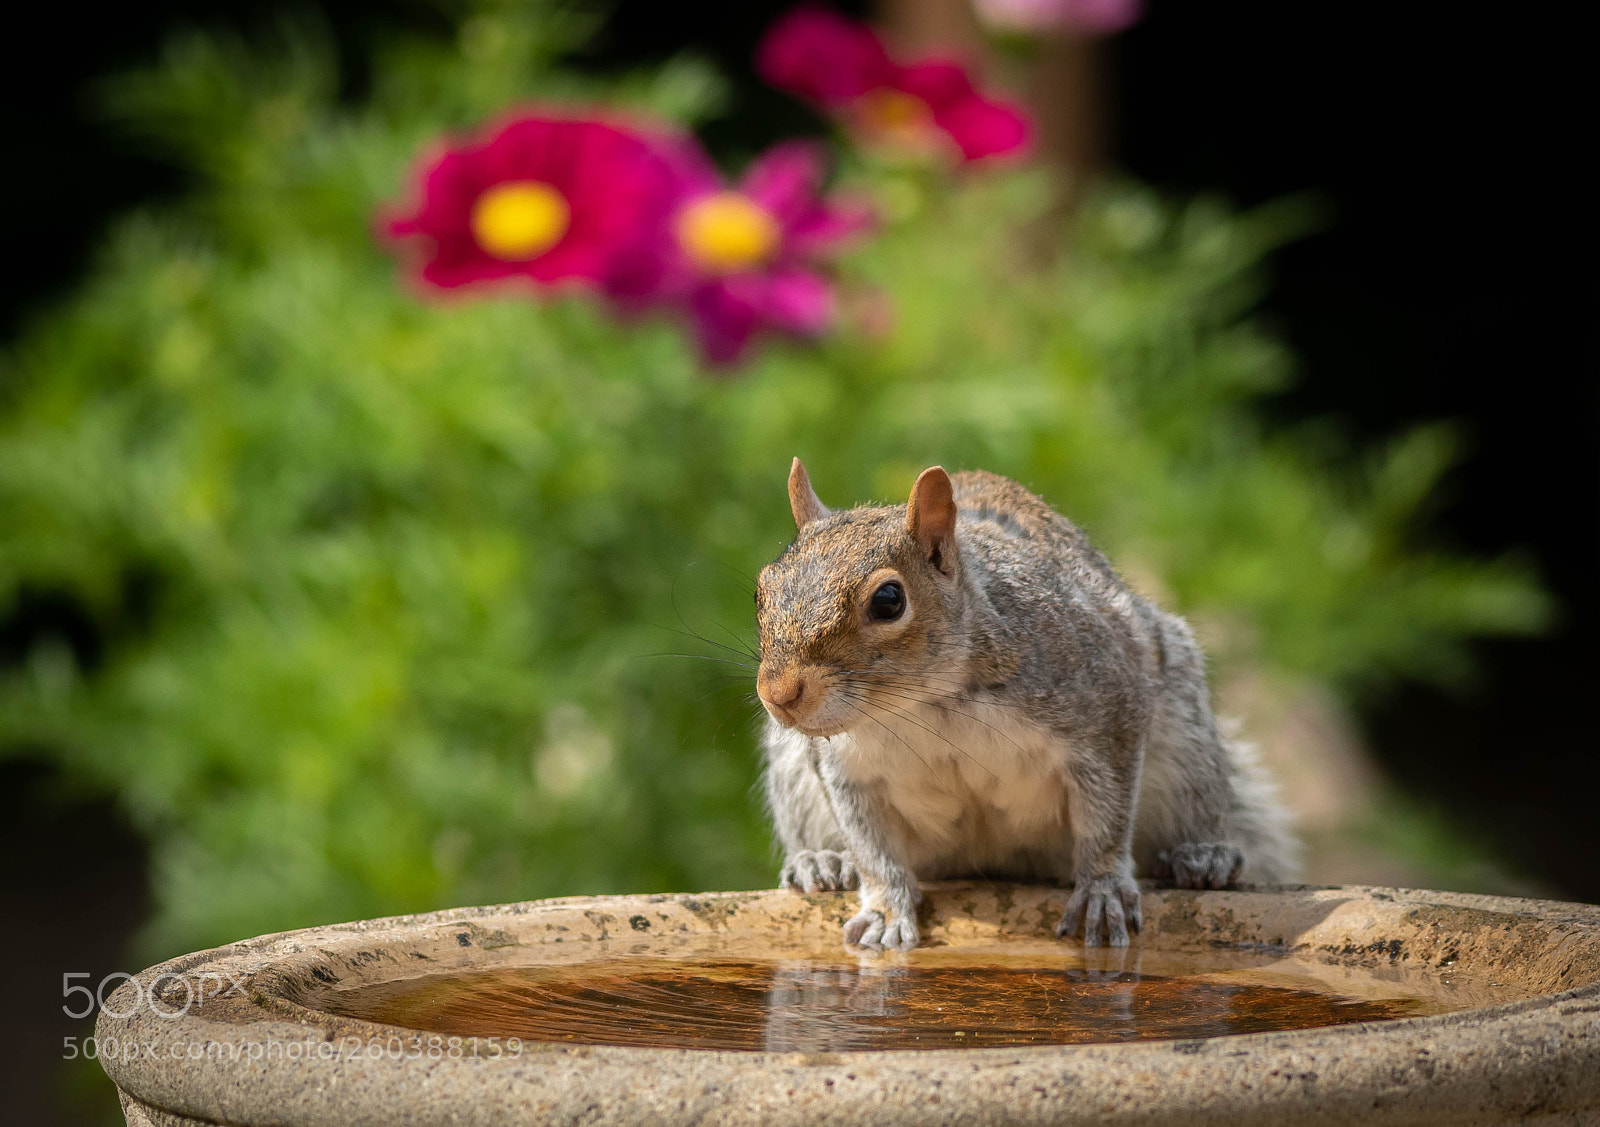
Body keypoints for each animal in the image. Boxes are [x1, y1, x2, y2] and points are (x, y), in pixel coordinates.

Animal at [755, 459, 1299, 951]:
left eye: (889, 600)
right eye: (762, 587)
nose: (778, 694)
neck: (925, 706)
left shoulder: (1107, 707)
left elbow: (1107, 820)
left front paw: (1102, 889)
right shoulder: (849, 772)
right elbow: (873, 849)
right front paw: (887, 910)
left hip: (1185, 736)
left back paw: (1202, 856)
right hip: (791, 764)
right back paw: (822, 861)